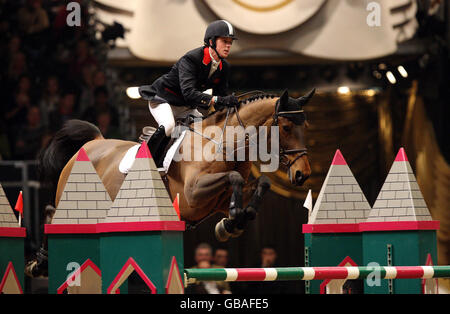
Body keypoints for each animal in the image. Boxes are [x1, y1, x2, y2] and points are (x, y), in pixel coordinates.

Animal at [38, 89, 312, 242]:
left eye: (306, 127)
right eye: (287, 127)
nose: (303, 174)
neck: (223, 144)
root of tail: (94, 142)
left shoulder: (219, 201)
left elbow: (260, 183)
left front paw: (232, 223)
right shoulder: (193, 194)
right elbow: (234, 177)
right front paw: (233, 218)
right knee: (54, 215)